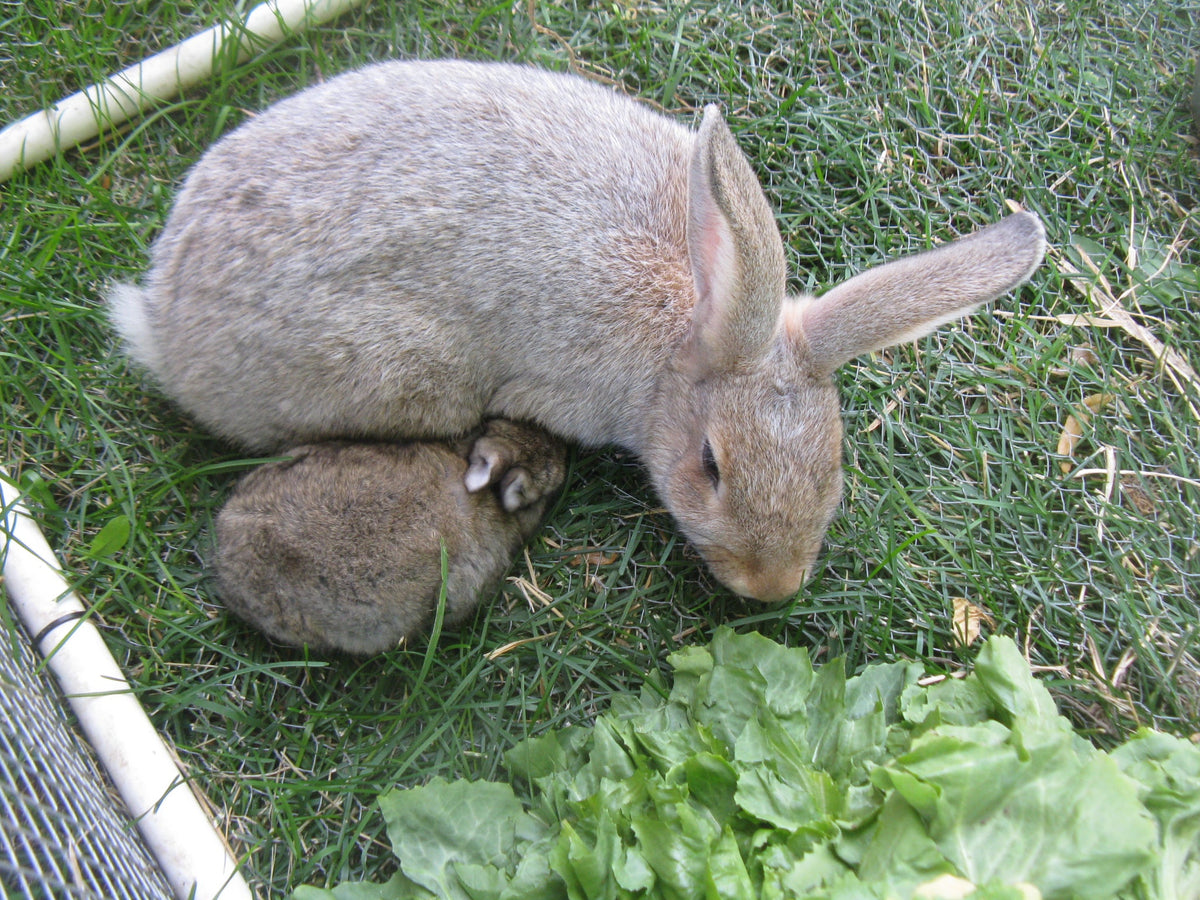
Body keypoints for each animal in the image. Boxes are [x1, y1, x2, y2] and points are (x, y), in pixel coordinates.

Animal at [110, 59, 1046, 602]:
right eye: (710, 467)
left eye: (834, 466)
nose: (773, 587)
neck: (683, 331)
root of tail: (161, 319)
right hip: (405, 372)